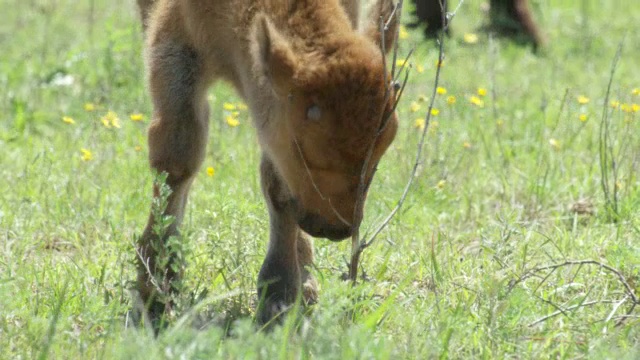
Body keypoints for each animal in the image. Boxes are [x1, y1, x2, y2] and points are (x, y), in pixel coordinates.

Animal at [134, 0, 398, 326]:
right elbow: (177, 158)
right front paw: (156, 286)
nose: (335, 227)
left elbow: (279, 187)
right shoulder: (176, 43)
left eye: (379, 154)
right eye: (302, 149)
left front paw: (280, 294)